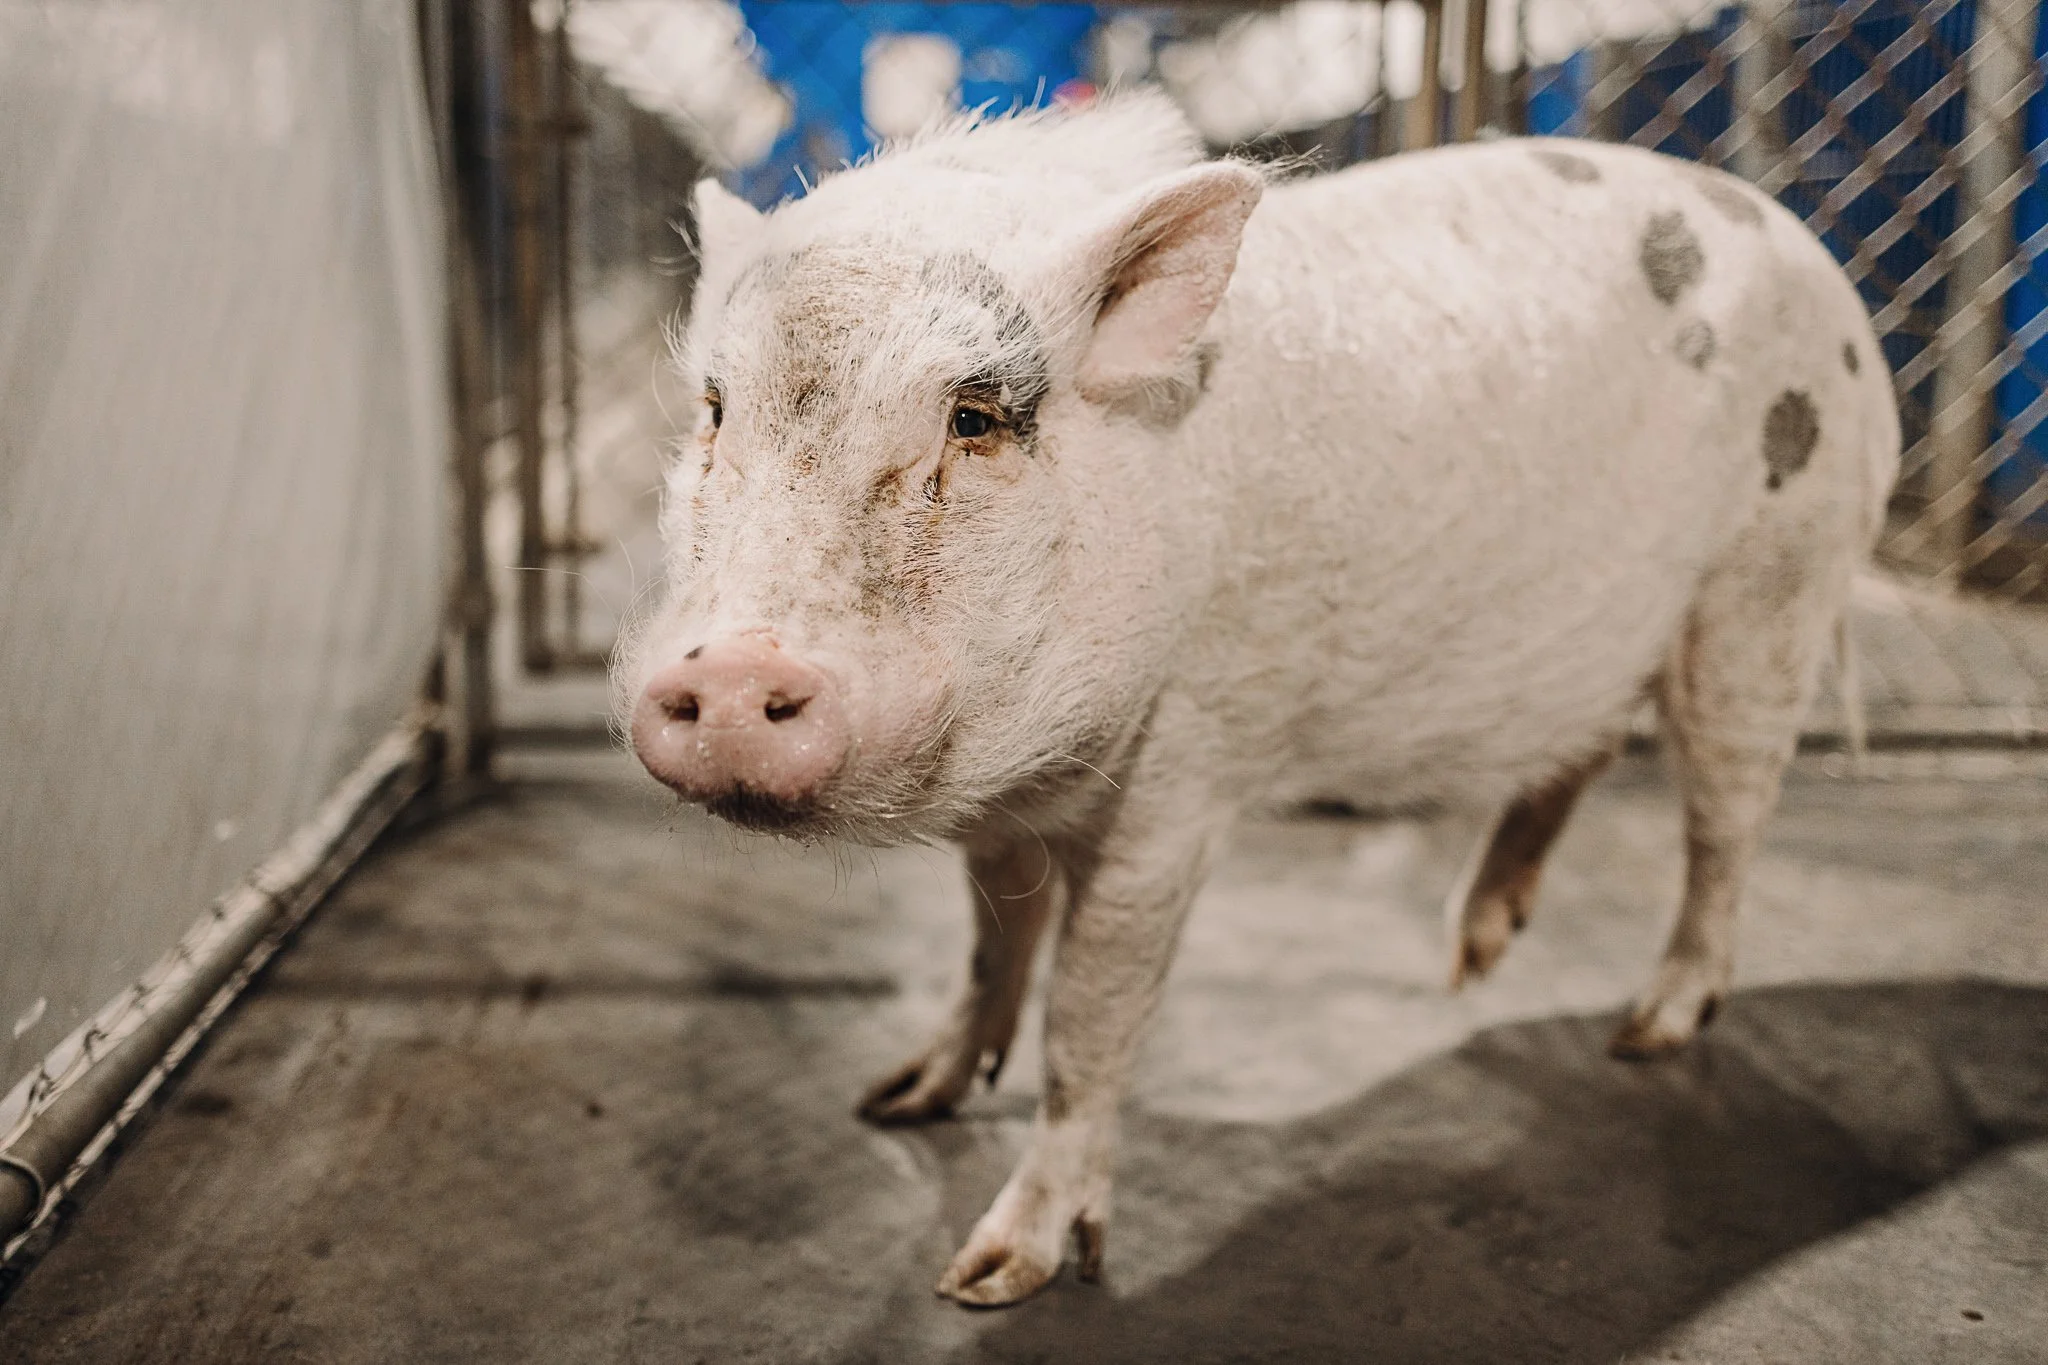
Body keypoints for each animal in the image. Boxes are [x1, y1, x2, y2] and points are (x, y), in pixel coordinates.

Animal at [615, 91, 1900, 1307]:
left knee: (1724, 822)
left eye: (972, 420)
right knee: (1580, 752)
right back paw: (1467, 962)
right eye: (717, 411)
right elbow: (991, 941)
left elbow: (1088, 1017)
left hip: (1768, 588)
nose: (728, 671)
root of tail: (1815, 265)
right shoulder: (1010, 805)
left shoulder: (1179, 781)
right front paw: (894, 1101)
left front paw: (992, 1278)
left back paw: (1645, 1030)